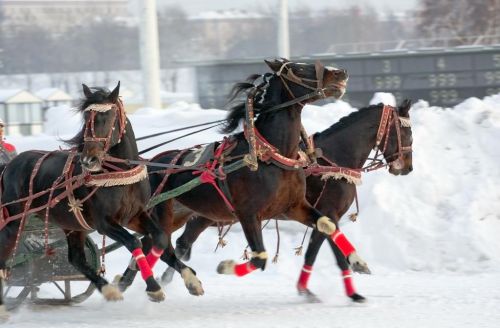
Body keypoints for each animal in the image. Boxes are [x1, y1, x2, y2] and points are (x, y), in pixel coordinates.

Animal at [160, 99, 414, 302]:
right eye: (408, 133)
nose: (408, 168)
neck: (332, 162)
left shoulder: (320, 215)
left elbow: (313, 251)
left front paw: (306, 288)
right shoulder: (329, 212)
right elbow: (334, 254)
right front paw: (352, 289)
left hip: (208, 214)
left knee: (183, 241)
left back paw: (166, 278)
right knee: (180, 241)